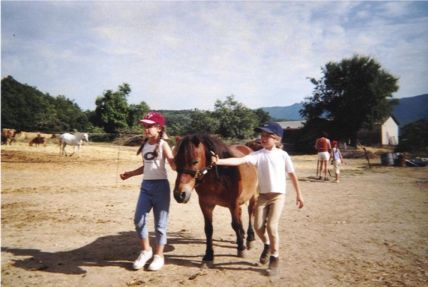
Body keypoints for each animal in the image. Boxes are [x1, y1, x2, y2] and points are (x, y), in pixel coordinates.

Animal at [173, 135, 258, 268]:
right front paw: (208, 255)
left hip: (253, 196)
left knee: (251, 213)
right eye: (176, 161)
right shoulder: (205, 205)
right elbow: (209, 229)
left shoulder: (233, 204)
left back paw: (249, 238)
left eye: (195, 161)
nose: (179, 195)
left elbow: (235, 225)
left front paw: (241, 248)